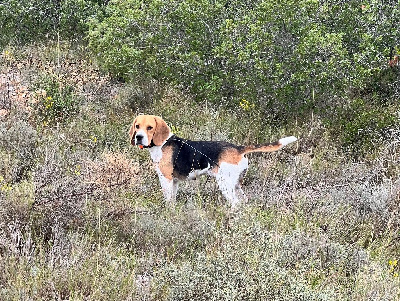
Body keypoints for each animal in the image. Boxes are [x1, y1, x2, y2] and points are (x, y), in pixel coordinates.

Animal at [129, 113, 296, 207]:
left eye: (150, 127)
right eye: (137, 126)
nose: (139, 137)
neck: (162, 143)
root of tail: (238, 148)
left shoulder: (166, 179)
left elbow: (168, 200)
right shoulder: (174, 182)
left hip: (225, 184)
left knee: (235, 204)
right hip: (236, 185)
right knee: (243, 201)